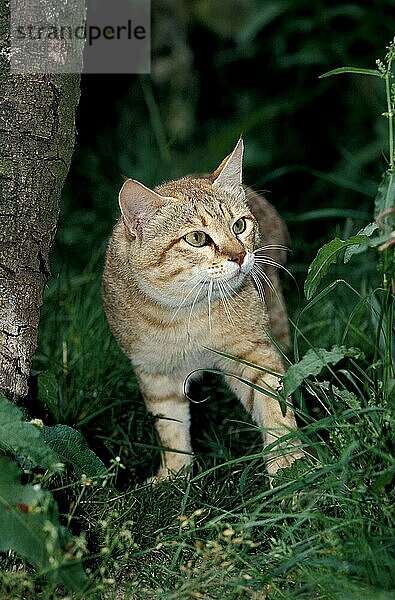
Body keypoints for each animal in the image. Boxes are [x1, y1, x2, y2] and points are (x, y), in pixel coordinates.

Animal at [103, 138, 304, 480]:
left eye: (239, 226)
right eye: (197, 238)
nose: (240, 256)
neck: (186, 314)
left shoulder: (254, 354)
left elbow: (276, 409)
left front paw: (289, 465)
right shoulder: (154, 373)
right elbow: (170, 429)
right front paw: (175, 474)